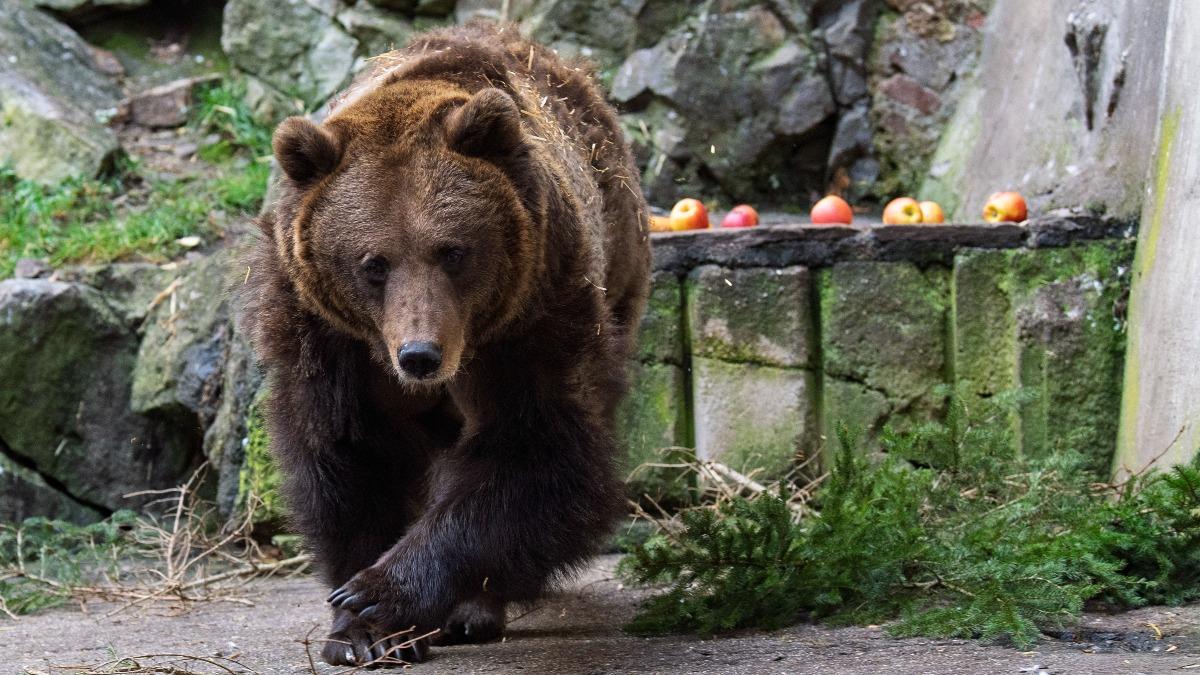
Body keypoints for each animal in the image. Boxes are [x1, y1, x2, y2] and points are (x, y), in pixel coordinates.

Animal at [239, 22, 651, 667]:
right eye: (373, 263)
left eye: (452, 250)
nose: (420, 356)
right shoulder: (330, 339)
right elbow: (349, 455)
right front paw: (358, 631)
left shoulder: (530, 320)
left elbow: (529, 452)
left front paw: (382, 593)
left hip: (617, 275)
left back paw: (473, 610)